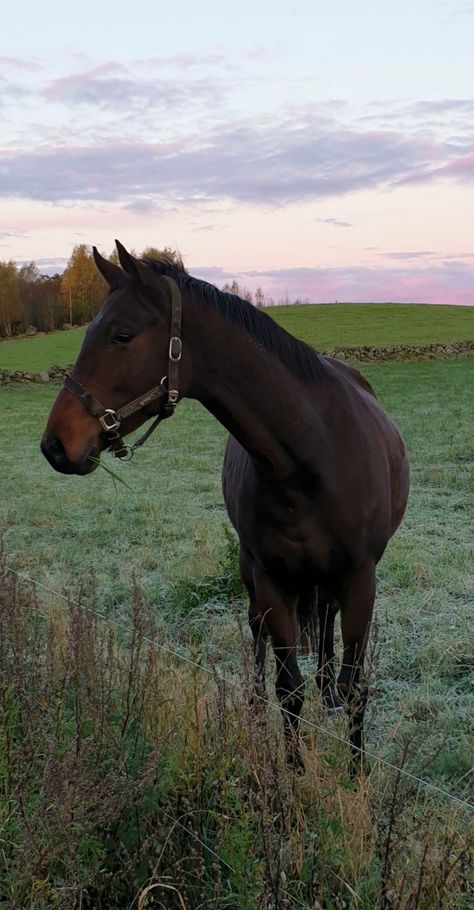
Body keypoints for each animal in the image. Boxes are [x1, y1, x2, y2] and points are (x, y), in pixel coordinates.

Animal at [42, 240, 410, 768]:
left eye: (121, 335)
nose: (55, 445)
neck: (312, 454)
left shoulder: (361, 578)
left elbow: (355, 686)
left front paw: (356, 776)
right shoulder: (271, 580)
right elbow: (287, 688)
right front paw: (290, 778)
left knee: (325, 628)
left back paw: (328, 695)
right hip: (252, 575)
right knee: (261, 638)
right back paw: (257, 707)